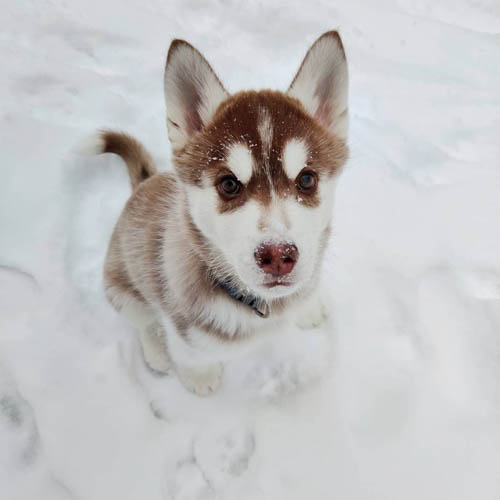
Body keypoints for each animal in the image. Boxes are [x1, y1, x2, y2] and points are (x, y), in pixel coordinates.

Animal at [91, 31, 348, 396]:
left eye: (307, 179)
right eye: (228, 184)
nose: (278, 256)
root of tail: (144, 183)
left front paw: (307, 307)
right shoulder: (183, 328)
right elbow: (190, 355)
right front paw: (200, 378)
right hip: (123, 288)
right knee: (144, 321)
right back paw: (156, 353)